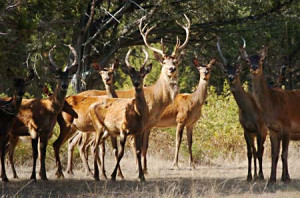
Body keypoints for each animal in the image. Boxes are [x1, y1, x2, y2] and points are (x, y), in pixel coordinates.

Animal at [8, 45, 78, 181]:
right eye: (57, 76)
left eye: (69, 77)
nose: (64, 85)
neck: (47, 109)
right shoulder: (33, 129)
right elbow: (35, 153)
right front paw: (33, 177)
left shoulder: (46, 132)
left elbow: (43, 153)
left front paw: (44, 176)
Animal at [53, 14, 190, 178]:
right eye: (163, 61)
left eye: (175, 61)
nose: (171, 69)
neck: (156, 100)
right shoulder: (140, 126)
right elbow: (139, 148)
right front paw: (140, 170)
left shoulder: (148, 125)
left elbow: (142, 147)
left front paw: (142, 170)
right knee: (80, 144)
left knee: (73, 143)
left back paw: (72, 171)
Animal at [239, 45, 300, 184]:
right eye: (248, 61)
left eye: (261, 59)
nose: (254, 67)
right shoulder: (272, 129)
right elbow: (274, 154)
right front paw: (272, 178)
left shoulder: (287, 126)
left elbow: (284, 154)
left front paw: (286, 178)